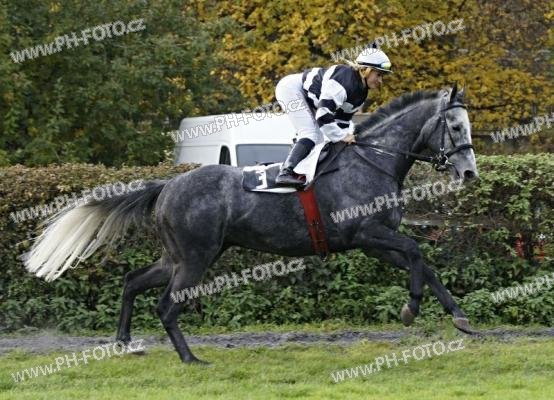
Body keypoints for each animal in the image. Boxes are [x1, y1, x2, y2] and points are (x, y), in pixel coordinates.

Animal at [23, 84, 478, 363]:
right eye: (456, 126)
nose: (470, 173)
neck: (373, 161)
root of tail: (168, 184)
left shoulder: (375, 242)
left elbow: (425, 265)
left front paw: (460, 318)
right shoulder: (367, 234)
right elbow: (417, 252)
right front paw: (411, 308)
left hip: (179, 256)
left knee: (133, 281)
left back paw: (125, 343)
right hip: (196, 257)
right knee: (167, 305)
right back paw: (191, 359)